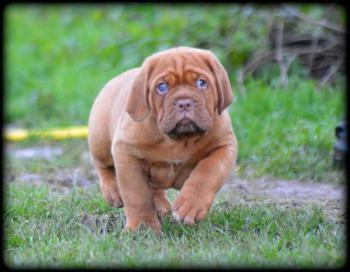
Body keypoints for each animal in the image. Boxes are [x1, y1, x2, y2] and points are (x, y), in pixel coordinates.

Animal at [89, 46, 239, 234]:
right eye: (162, 87)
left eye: (201, 83)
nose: (184, 102)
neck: (179, 140)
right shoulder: (127, 153)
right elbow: (137, 195)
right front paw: (142, 227)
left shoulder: (224, 145)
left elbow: (208, 172)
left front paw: (190, 206)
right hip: (100, 139)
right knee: (103, 166)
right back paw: (113, 190)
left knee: (155, 188)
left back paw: (160, 205)